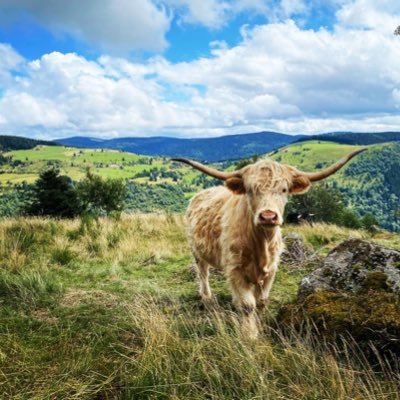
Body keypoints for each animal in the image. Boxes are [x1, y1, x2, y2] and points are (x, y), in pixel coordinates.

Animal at [172, 150, 366, 338]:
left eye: (284, 189)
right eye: (250, 189)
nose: (268, 216)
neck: (261, 244)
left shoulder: (271, 270)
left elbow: (261, 302)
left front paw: (260, 326)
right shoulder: (235, 269)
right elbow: (247, 305)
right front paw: (250, 335)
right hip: (197, 252)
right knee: (203, 273)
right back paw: (206, 297)